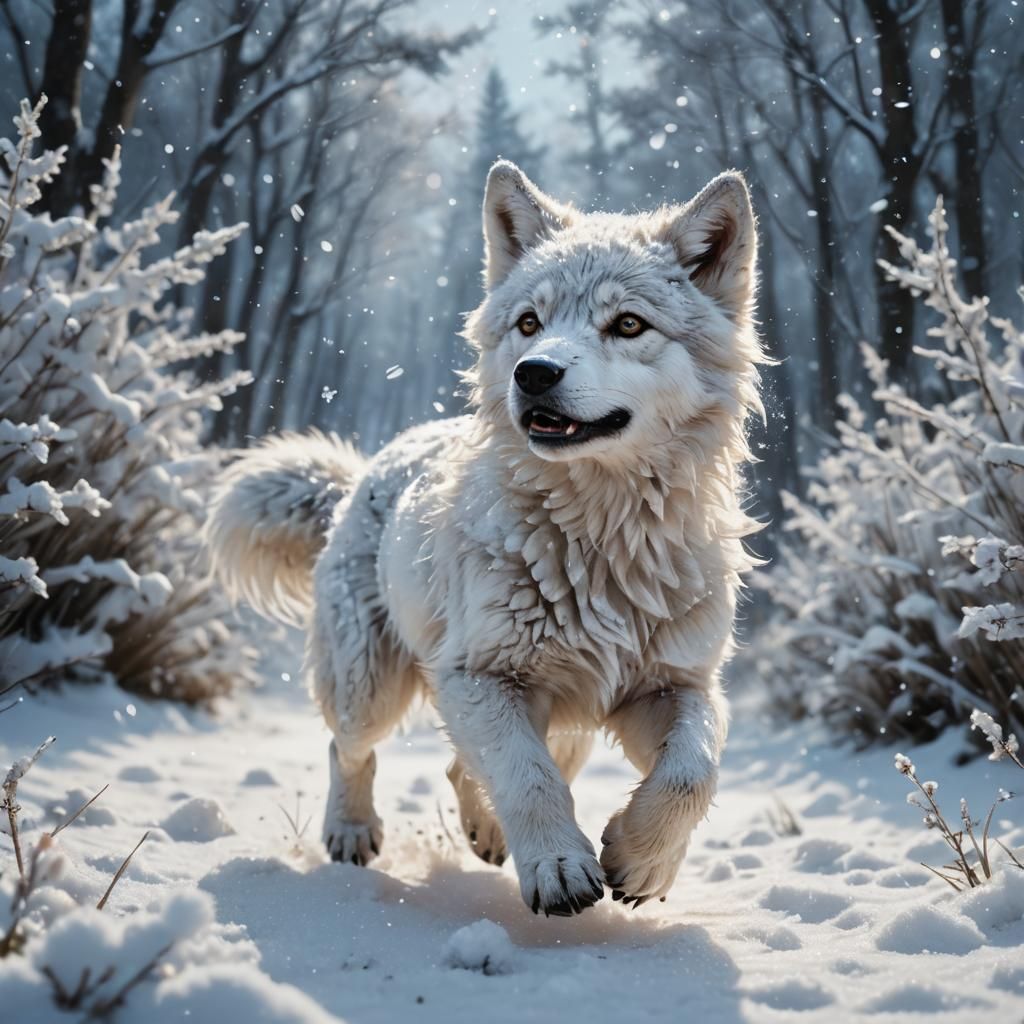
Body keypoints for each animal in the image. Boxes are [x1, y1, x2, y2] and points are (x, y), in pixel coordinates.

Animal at [205, 161, 765, 915]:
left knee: (466, 763)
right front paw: (559, 867)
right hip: (371, 688)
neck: (598, 539)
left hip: (560, 717)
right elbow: (526, 776)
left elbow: (692, 771)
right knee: (350, 749)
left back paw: (486, 831)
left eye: (627, 324)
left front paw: (640, 861)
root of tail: (358, 476)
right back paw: (352, 830)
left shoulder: (678, 685)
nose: (536, 373)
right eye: (530, 323)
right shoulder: (476, 676)